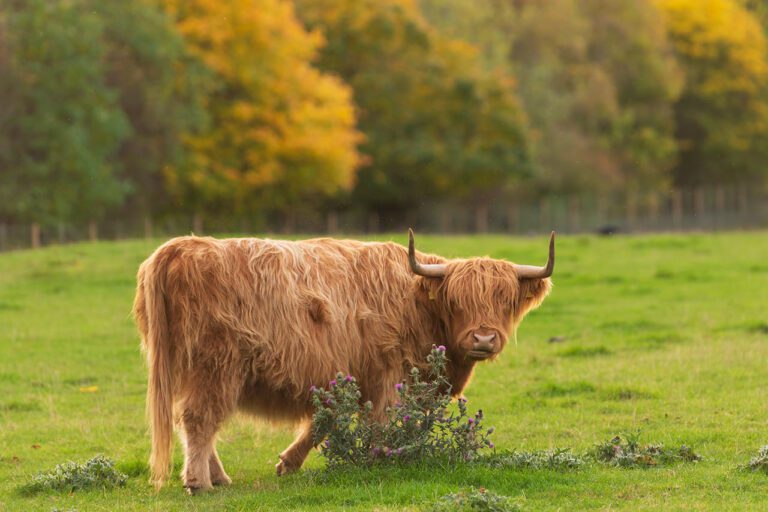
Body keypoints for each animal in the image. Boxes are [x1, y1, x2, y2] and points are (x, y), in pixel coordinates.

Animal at [133, 229, 554, 492]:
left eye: (505, 299)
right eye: (456, 300)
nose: (483, 338)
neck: (418, 302)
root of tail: (181, 248)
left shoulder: (354, 373)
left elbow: (327, 417)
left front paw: (289, 462)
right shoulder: (389, 372)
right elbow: (380, 422)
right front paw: (381, 460)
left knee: (192, 422)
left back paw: (218, 477)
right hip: (215, 365)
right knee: (199, 419)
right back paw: (198, 482)